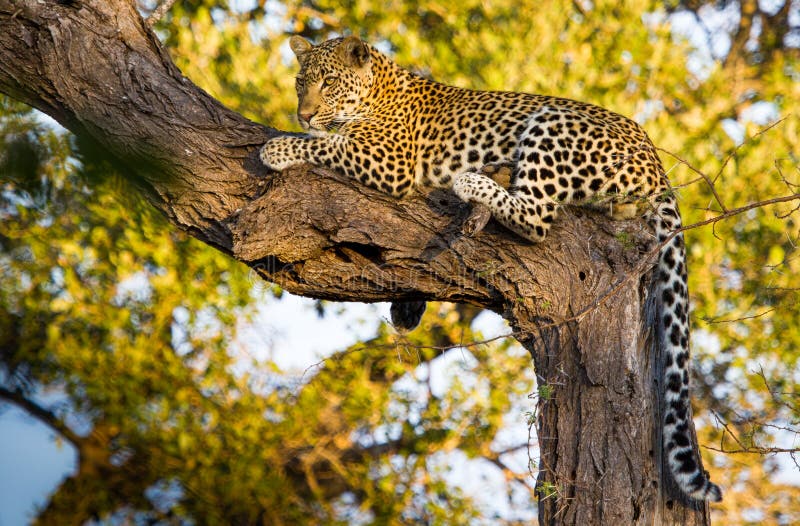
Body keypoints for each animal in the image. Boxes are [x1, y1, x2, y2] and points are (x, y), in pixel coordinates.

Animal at [260, 35, 722, 503]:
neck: (378, 89)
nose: (303, 114)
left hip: (552, 123)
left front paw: (278, 148)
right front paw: (407, 309)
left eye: (328, 83)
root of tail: (656, 161)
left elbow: (326, 144)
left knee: (537, 215)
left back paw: (473, 182)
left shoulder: (389, 160)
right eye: (301, 83)